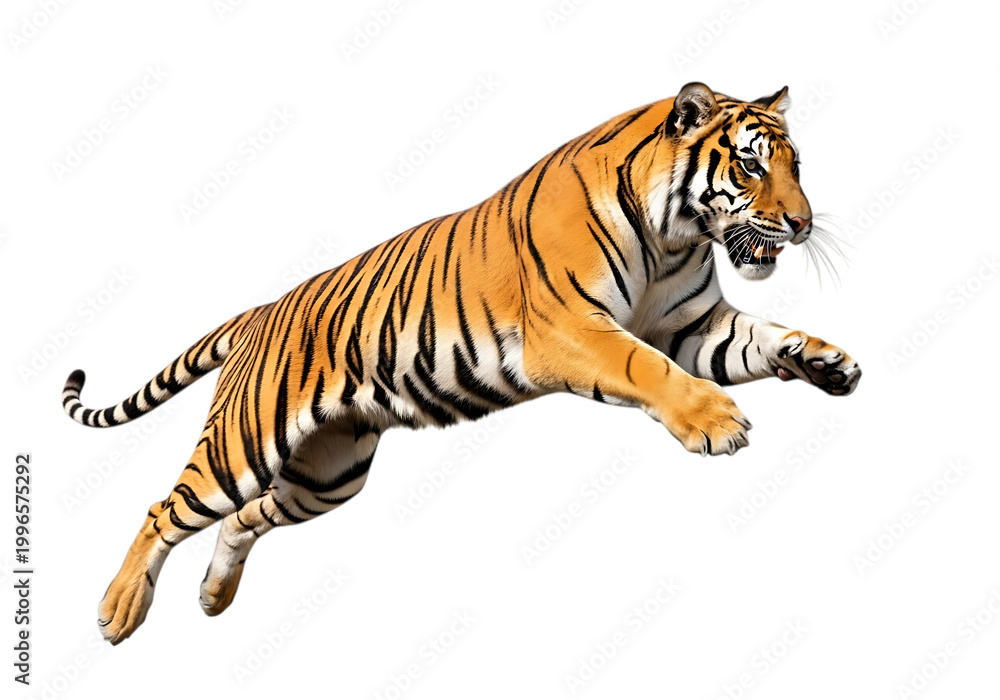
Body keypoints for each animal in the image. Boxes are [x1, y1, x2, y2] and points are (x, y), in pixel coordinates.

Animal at [62, 82, 861, 644]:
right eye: (750, 166)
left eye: (796, 165)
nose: (802, 224)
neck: (675, 236)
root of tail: (262, 312)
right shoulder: (573, 330)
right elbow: (648, 369)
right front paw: (715, 421)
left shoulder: (693, 326)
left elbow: (763, 336)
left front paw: (827, 361)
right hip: (244, 445)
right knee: (165, 509)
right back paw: (118, 610)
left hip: (329, 474)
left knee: (242, 520)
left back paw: (213, 596)